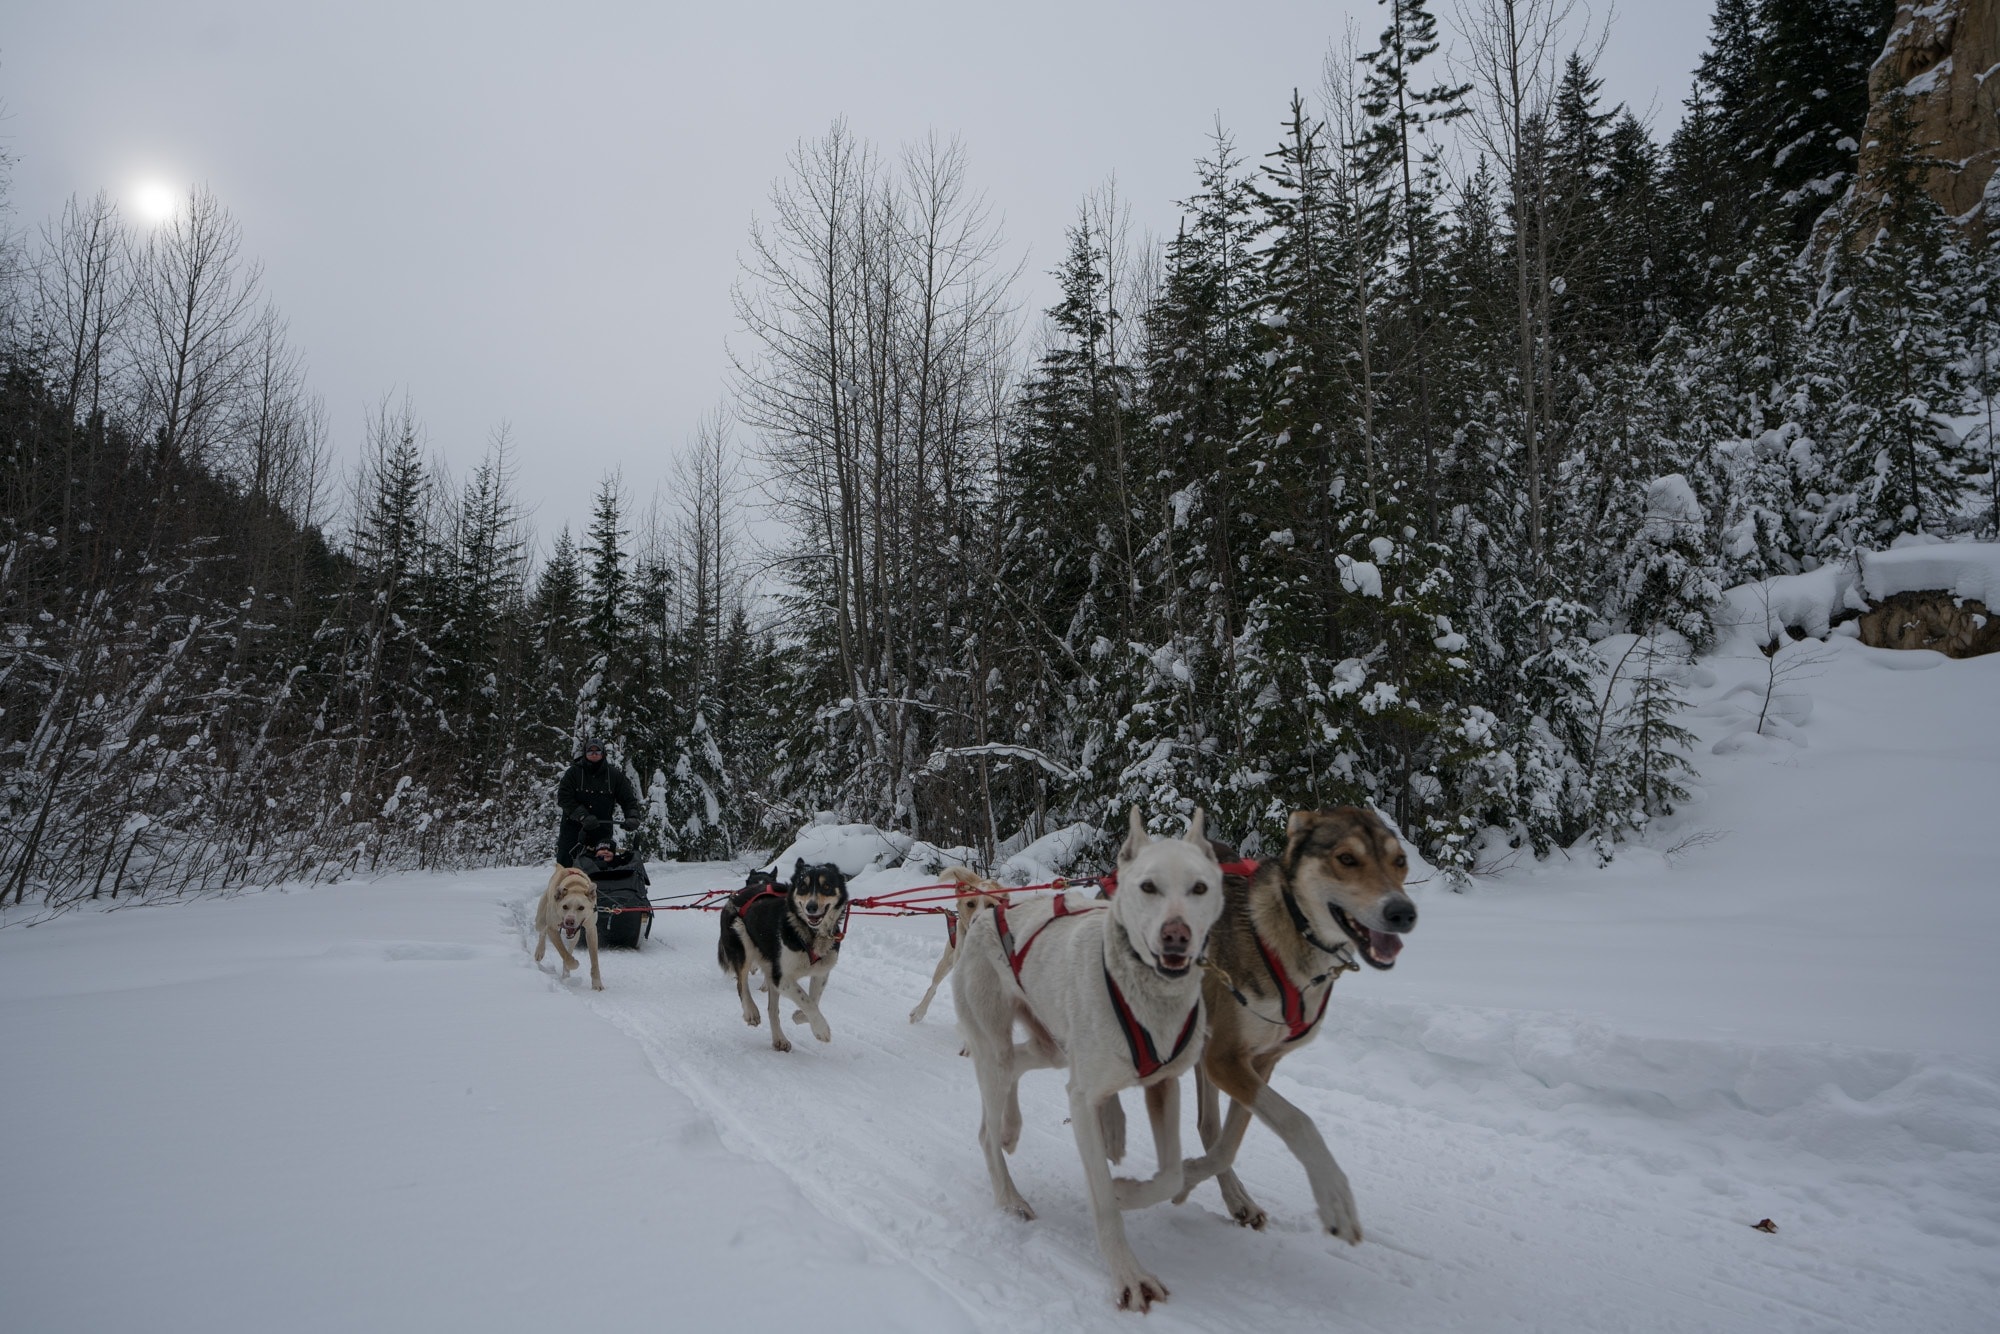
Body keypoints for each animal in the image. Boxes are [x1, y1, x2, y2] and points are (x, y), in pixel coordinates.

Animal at [716, 860, 848, 1056]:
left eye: (826, 886)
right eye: (803, 886)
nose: (811, 907)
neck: (808, 934)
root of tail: (735, 896)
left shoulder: (821, 973)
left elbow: (813, 1001)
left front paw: (799, 1016)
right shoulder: (782, 978)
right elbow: (807, 1001)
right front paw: (821, 1029)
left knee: (772, 1009)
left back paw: (779, 1039)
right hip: (742, 940)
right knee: (741, 983)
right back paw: (751, 1011)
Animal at [948, 808, 1216, 1312]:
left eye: (1199, 887)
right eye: (1147, 886)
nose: (1177, 936)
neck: (1145, 997)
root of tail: (990, 912)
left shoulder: (1163, 1085)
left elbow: (1171, 1176)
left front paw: (1128, 1190)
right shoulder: (1083, 1099)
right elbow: (1105, 1204)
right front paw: (1129, 1276)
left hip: (1051, 1048)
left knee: (1016, 1070)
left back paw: (1012, 1126)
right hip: (993, 1047)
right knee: (986, 1129)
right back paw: (1010, 1195)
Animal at [1168, 808, 1424, 1248]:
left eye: (1400, 861)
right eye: (1346, 859)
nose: (1402, 912)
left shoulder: (1257, 1062)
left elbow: (1228, 1145)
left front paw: (1187, 1180)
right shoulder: (1225, 1059)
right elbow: (1298, 1121)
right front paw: (1336, 1198)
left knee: (1207, 1125)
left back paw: (1237, 1199)